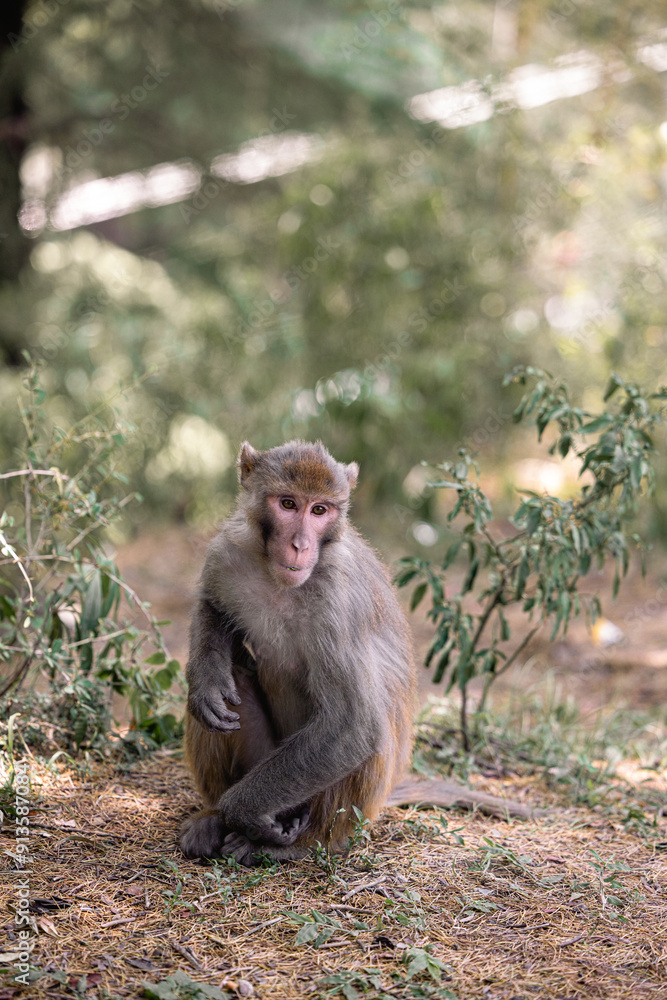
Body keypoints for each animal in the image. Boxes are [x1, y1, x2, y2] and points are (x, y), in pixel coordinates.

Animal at [180, 439, 417, 865]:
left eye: (320, 510)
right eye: (288, 504)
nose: (300, 545)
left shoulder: (338, 600)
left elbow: (351, 726)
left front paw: (246, 815)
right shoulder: (228, 550)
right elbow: (213, 607)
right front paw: (205, 681)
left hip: (341, 809)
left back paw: (280, 842)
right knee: (230, 685)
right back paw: (212, 821)